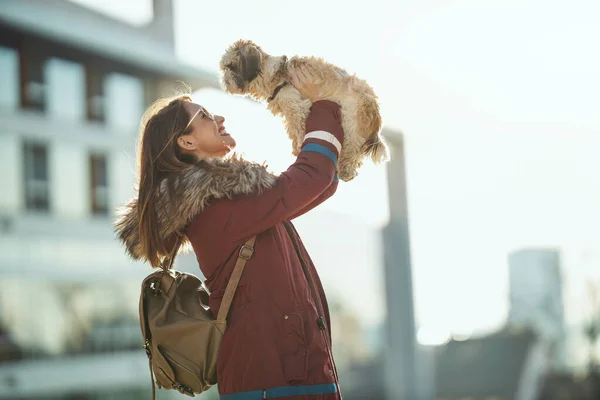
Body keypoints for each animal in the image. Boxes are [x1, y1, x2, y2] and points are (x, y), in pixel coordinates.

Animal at [220, 39, 390, 181]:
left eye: (231, 67)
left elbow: (299, 128)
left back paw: (345, 171)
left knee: (353, 150)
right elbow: (293, 130)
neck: (271, 74)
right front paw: (297, 148)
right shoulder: (290, 111)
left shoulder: (296, 106)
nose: (225, 80)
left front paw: (300, 146)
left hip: (352, 121)